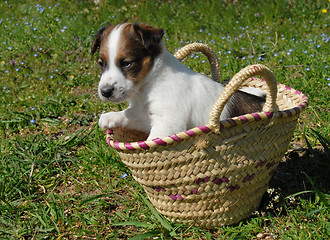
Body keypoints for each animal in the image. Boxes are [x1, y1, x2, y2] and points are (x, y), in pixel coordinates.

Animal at [91, 23, 266, 140]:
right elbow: (130, 113)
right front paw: (110, 117)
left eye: (126, 63)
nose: (105, 92)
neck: (149, 85)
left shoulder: (167, 122)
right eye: (101, 63)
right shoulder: (145, 114)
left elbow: (152, 140)